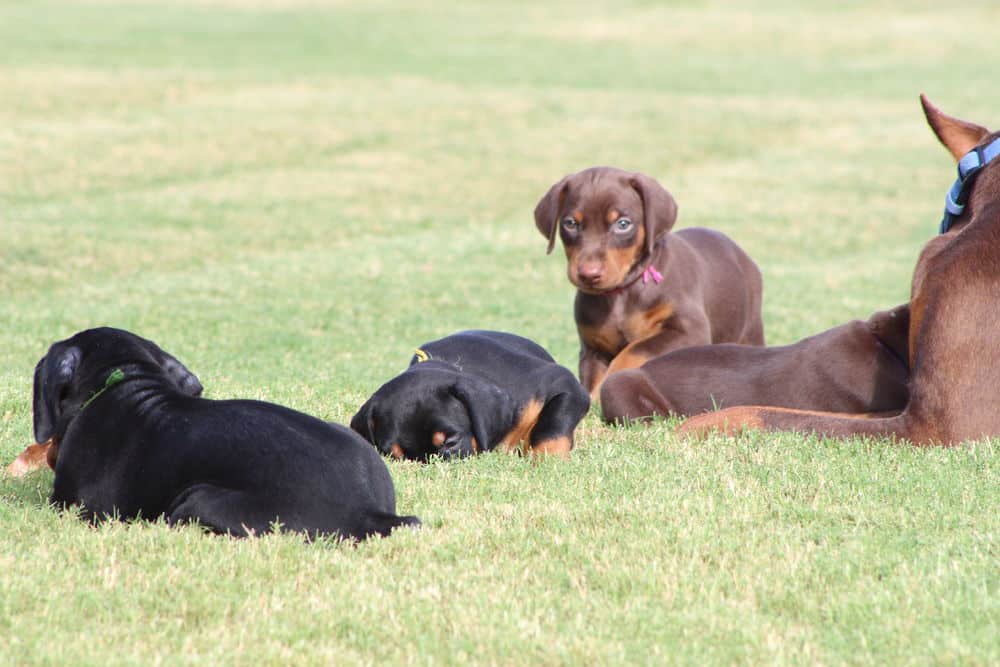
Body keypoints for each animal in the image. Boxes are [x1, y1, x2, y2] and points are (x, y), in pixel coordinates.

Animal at [540, 167, 764, 400]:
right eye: (570, 223)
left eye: (623, 224)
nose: (588, 274)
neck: (622, 293)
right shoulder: (593, 348)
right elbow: (591, 381)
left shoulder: (689, 331)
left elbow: (632, 352)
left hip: (750, 329)